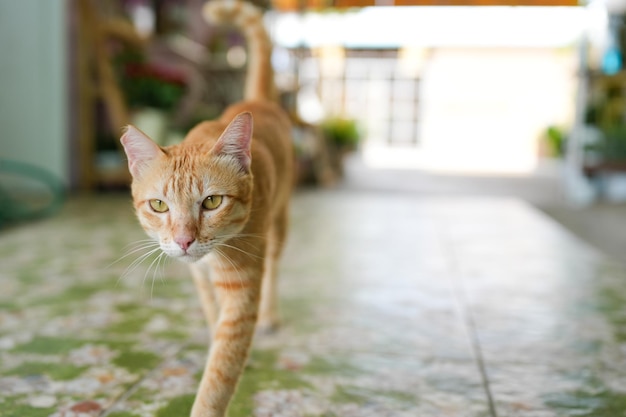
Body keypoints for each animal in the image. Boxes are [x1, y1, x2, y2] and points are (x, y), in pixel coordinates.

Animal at [119, 1, 292, 414]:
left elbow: (220, 371)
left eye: (212, 202)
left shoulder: (242, 289)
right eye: (159, 205)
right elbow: (215, 323)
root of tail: (258, 100)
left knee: (275, 269)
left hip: (280, 226)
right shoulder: (201, 278)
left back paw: (271, 316)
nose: (184, 240)